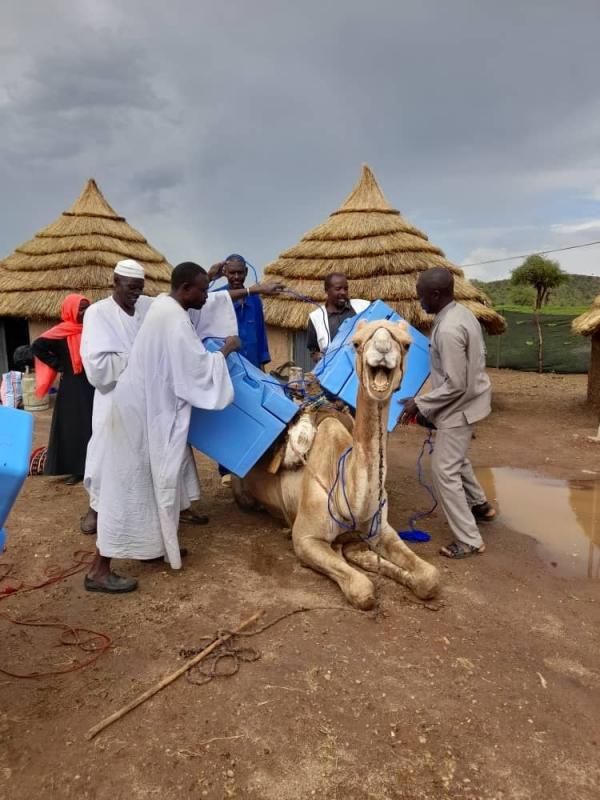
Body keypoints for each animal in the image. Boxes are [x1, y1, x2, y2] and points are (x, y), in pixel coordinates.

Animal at [232, 318, 442, 608]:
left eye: (407, 344)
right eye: (356, 342)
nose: (383, 348)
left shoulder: (380, 528)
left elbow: (429, 577)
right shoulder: (305, 538)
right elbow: (362, 589)